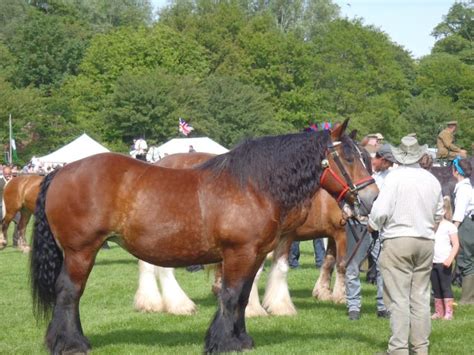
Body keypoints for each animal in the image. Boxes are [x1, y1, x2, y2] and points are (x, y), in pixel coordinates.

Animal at [29, 121, 378, 354]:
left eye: (366, 157)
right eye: (348, 157)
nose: (372, 196)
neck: (253, 186)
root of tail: (59, 172)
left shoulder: (254, 255)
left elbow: (242, 297)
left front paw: (241, 339)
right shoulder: (239, 253)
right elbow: (231, 295)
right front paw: (224, 342)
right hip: (81, 251)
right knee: (69, 292)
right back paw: (71, 343)